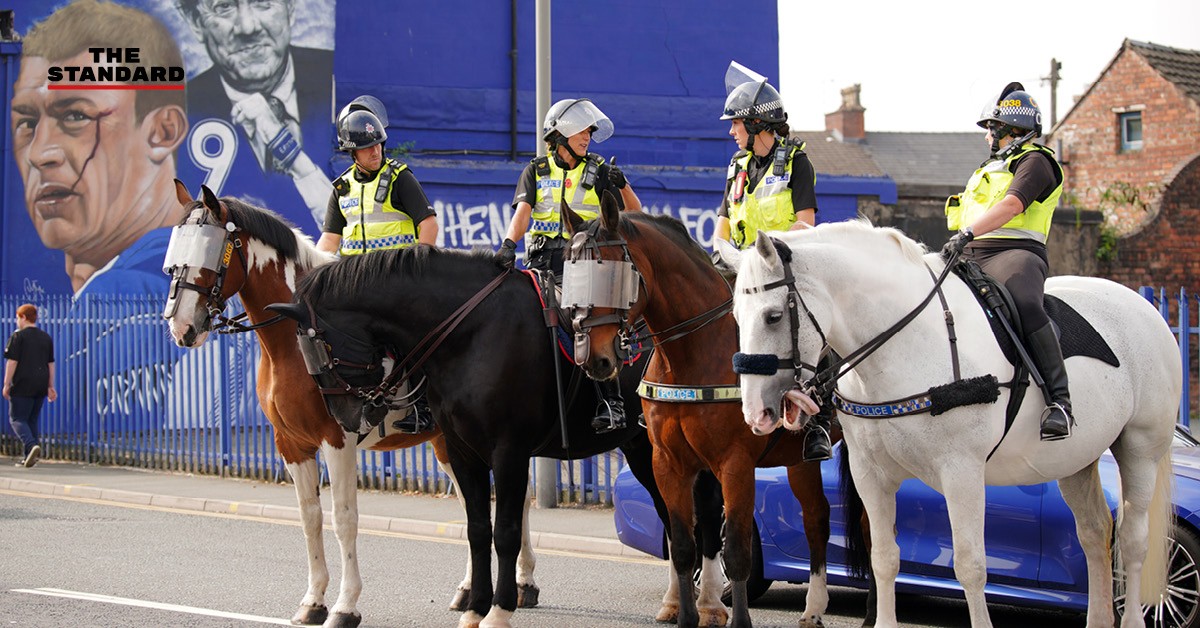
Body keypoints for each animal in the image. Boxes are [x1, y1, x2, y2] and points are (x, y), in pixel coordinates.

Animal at [162, 184, 537, 628]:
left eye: (212, 251)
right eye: (173, 259)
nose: (181, 327)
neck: (297, 339)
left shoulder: (336, 441)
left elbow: (344, 520)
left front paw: (345, 605)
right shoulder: (291, 445)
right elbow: (309, 518)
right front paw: (313, 600)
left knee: (515, 503)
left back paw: (524, 583)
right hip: (449, 443)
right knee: (472, 505)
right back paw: (470, 590)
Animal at [272, 247, 720, 628]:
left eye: (321, 352)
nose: (346, 418)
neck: (471, 332)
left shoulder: (509, 452)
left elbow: (504, 532)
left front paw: (500, 609)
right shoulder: (462, 450)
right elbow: (476, 530)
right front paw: (475, 608)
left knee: (707, 515)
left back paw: (710, 602)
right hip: (645, 450)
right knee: (672, 517)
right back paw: (674, 602)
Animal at [561, 193, 873, 628]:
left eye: (610, 275)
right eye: (568, 274)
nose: (593, 358)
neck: (692, 352)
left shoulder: (734, 464)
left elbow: (737, 551)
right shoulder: (668, 463)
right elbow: (682, 545)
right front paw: (687, 614)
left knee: (870, 528)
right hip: (799, 460)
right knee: (816, 519)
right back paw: (813, 608)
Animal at [715, 222, 1176, 628]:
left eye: (774, 316)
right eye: (736, 316)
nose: (756, 412)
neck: (906, 343)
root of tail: (1144, 306)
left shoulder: (962, 473)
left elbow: (970, 564)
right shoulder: (871, 475)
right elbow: (884, 557)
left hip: (1140, 449)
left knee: (1133, 541)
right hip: (1074, 461)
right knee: (1095, 534)